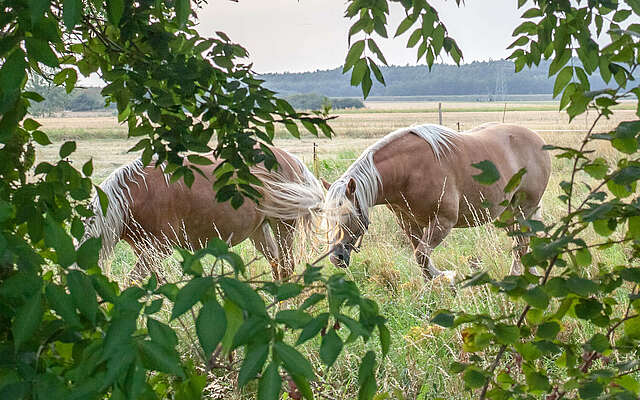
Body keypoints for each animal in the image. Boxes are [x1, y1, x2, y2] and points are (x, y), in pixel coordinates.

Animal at [83, 145, 324, 280]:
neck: (132, 197)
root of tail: (292, 160)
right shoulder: (146, 252)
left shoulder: (158, 250)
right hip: (258, 230)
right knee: (276, 265)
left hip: (283, 225)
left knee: (286, 267)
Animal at [322, 122, 552, 282]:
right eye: (326, 217)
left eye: (348, 216)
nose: (336, 257)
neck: (408, 170)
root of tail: (537, 139)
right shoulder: (409, 223)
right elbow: (420, 257)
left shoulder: (443, 222)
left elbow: (422, 256)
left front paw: (445, 276)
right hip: (507, 213)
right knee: (520, 243)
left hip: (524, 208)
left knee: (521, 244)